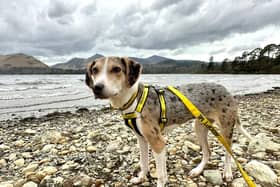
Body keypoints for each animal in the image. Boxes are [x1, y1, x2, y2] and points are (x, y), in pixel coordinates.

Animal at [85, 56, 252, 186]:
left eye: (116, 69)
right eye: (95, 70)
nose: (97, 87)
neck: (134, 99)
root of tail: (226, 90)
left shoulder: (157, 142)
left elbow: (160, 174)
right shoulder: (142, 139)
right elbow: (144, 163)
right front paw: (141, 178)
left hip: (226, 128)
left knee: (229, 151)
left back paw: (228, 172)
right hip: (200, 127)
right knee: (207, 152)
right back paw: (197, 170)